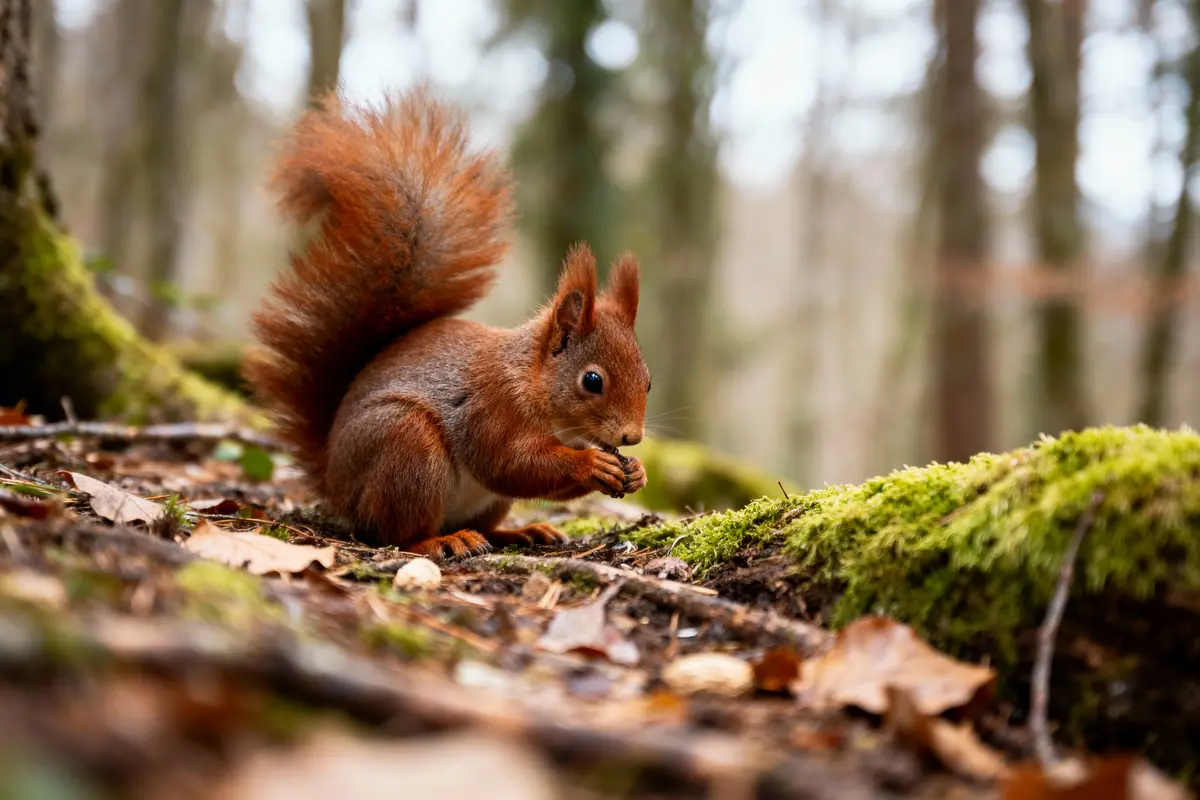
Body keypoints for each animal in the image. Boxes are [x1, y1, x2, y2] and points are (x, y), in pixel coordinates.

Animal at [242, 86, 650, 559]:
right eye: (592, 381)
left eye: (648, 381)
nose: (632, 438)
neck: (533, 383)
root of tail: (334, 482)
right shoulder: (491, 407)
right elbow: (510, 462)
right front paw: (590, 462)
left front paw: (636, 471)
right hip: (407, 446)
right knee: (398, 533)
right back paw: (443, 539)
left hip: (481, 498)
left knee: (483, 524)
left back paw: (518, 533)